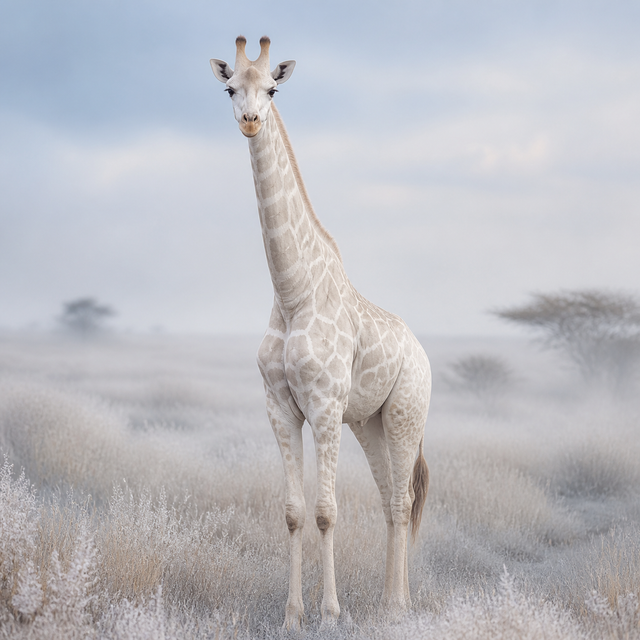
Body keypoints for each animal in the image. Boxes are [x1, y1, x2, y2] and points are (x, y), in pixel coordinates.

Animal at [210, 36, 431, 630]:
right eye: (230, 88)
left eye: (273, 88)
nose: (251, 121)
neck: (293, 294)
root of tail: (422, 353)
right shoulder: (281, 408)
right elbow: (292, 512)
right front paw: (292, 615)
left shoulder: (326, 405)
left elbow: (327, 512)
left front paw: (331, 613)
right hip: (368, 423)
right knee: (390, 501)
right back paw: (387, 601)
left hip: (404, 413)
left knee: (403, 500)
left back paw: (399, 606)